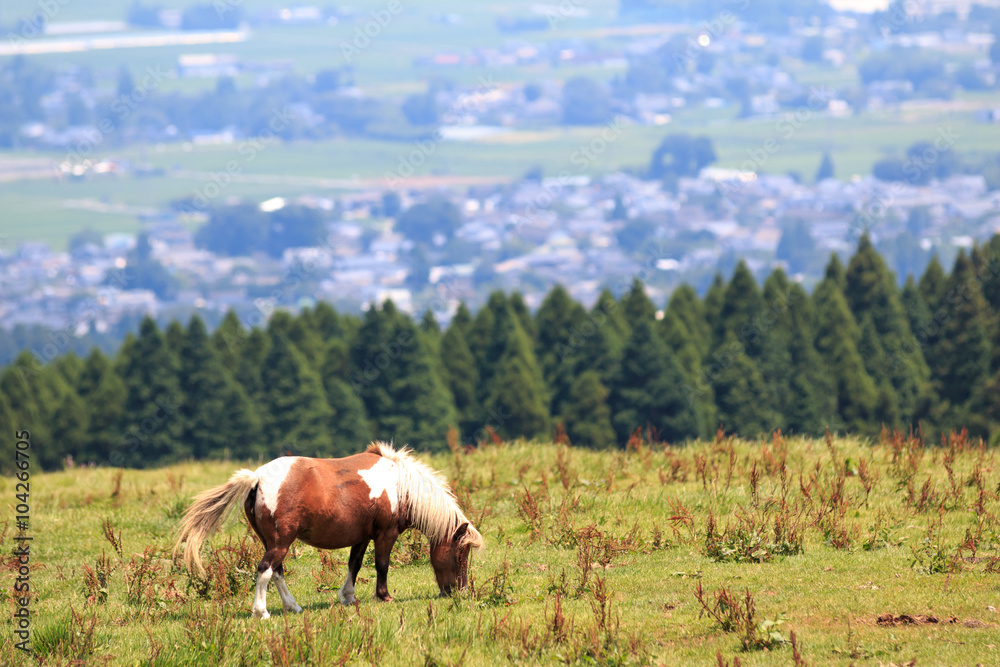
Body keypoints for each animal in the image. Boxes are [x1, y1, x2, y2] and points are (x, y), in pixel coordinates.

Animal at [174, 441, 484, 619]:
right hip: (281, 541)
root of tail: (257, 477)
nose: (457, 591)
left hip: (272, 541)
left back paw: (293, 607)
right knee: (265, 570)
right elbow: (382, 564)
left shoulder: (362, 536)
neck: (400, 485)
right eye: (460, 555)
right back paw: (262, 612)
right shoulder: (386, 534)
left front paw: (348, 597)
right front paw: (384, 596)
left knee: (277, 571)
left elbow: (354, 564)